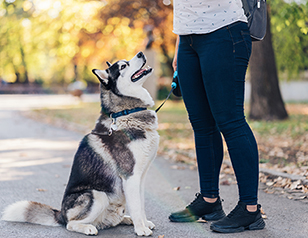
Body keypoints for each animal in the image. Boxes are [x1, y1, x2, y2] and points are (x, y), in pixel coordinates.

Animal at [2, 52, 160, 236]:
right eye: (123, 66)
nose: (141, 53)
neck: (125, 113)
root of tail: (61, 214)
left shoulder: (140, 177)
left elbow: (140, 206)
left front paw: (143, 223)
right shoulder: (130, 176)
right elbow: (136, 207)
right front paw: (141, 229)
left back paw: (125, 220)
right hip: (97, 194)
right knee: (71, 224)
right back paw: (88, 228)